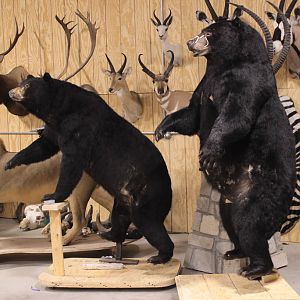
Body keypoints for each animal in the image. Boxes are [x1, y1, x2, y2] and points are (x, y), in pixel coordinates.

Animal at [6, 74, 173, 264]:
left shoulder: (79, 128)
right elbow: (44, 145)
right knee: (120, 216)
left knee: (149, 224)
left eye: (27, 86)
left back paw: (160, 256)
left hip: (146, 195)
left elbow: (71, 163)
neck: (60, 110)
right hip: (124, 199)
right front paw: (11, 162)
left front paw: (52, 195)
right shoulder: (55, 128)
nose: (10, 92)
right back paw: (109, 234)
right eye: (21, 83)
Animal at [156, 1, 296, 280]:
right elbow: (191, 116)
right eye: (203, 29)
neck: (222, 64)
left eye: (209, 33)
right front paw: (160, 130)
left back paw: (255, 267)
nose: (190, 42)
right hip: (227, 200)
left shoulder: (248, 79)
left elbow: (236, 115)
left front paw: (208, 153)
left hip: (265, 187)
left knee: (250, 222)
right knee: (231, 219)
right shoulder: (204, 83)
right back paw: (235, 252)